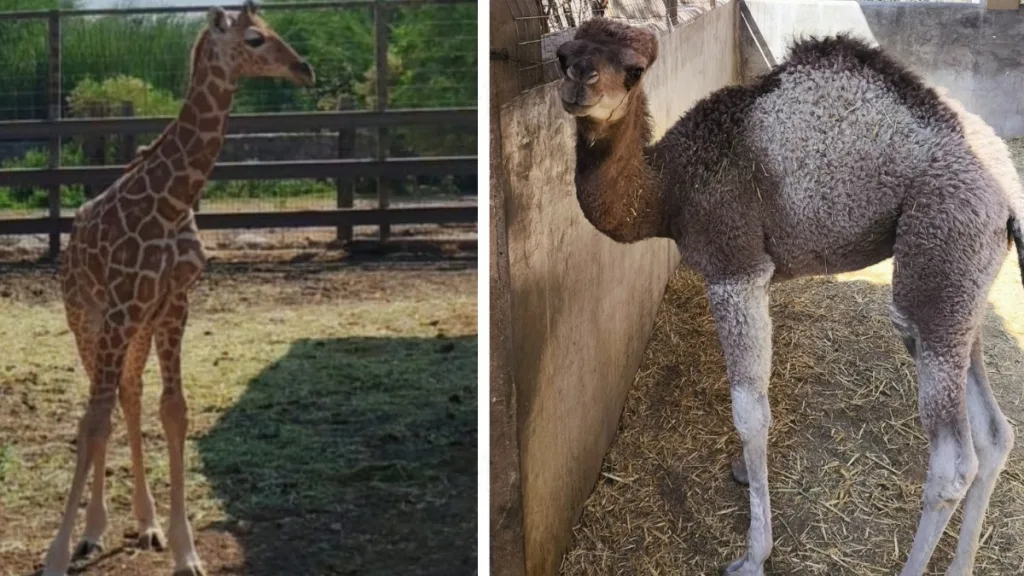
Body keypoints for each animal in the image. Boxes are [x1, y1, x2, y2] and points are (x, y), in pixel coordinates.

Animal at [42, 3, 314, 575]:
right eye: (254, 39)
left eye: (272, 30)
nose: (304, 69)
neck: (172, 202)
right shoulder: (120, 307)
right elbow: (93, 421)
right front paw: (58, 552)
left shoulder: (172, 305)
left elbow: (173, 410)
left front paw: (185, 549)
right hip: (86, 319)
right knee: (99, 407)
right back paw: (92, 532)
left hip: (136, 329)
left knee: (129, 395)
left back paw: (143, 525)